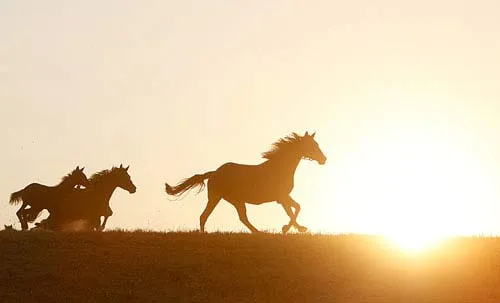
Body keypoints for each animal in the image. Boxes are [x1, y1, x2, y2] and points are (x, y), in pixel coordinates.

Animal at [166, 132, 326, 234]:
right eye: (312, 145)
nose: (324, 159)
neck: (280, 168)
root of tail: (214, 173)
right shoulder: (281, 197)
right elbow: (293, 210)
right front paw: (289, 228)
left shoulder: (282, 198)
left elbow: (296, 208)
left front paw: (294, 228)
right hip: (229, 199)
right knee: (218, 216)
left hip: (224, 199)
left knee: (215, 216)